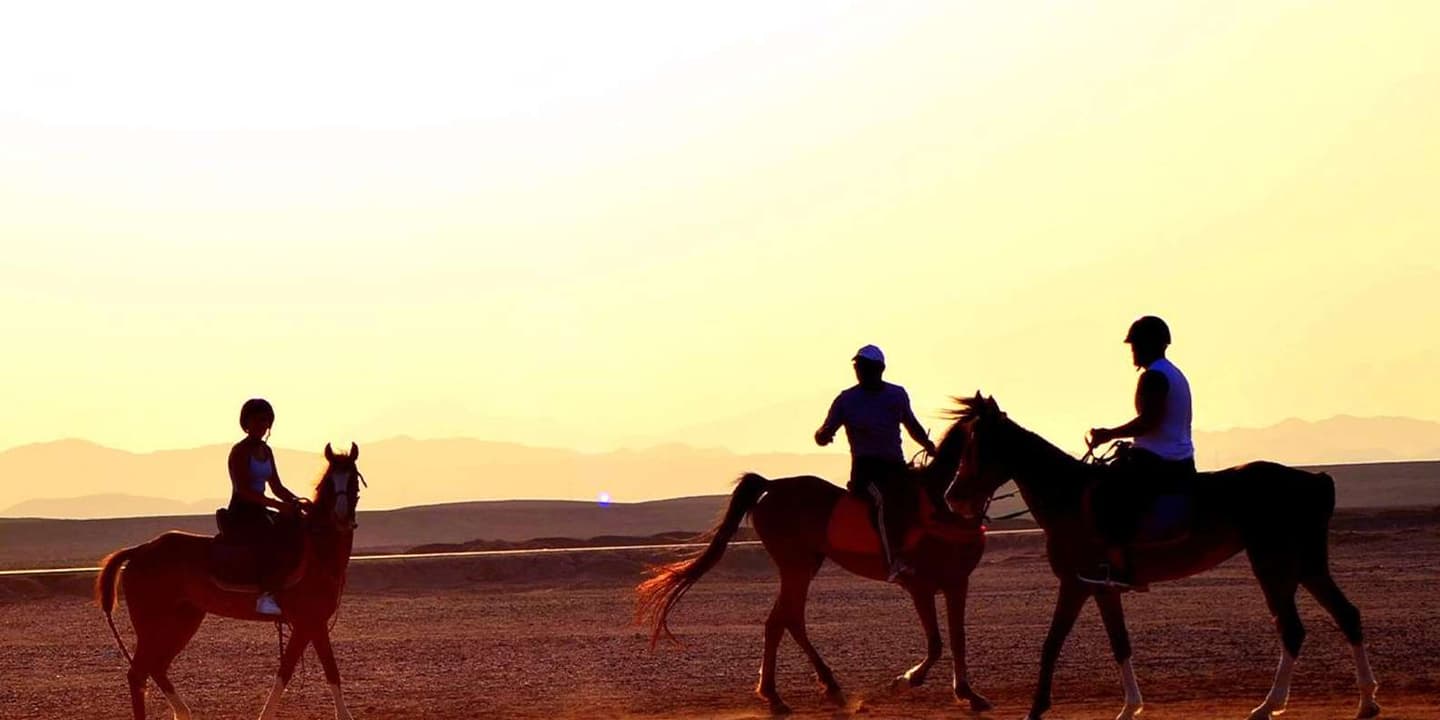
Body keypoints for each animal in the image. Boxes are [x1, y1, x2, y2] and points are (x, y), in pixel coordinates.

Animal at [96, 442, 365, 720]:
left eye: (353, 479)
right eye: (329, 483)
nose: (342, 518)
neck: (318, 552)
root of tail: (139, 550)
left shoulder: (311, 624)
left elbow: (314, 670)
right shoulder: (308, 623)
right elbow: (302, 670)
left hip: (183, 620)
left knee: (156, 667)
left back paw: (183, 712)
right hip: (152, 625)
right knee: (138, 673)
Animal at [636, 418, 993, 715]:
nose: (967, 495)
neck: (939, 508)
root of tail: (771, 485)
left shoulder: (956, 582)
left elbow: (957, 636)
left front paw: (968, 694)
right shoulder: (921, 586)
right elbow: (937, 643)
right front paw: (908, 681)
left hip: (806, 564)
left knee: (781, 620)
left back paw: (784, 693)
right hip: (795, 564)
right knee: (788, 618)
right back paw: (805, 691)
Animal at [943, 393, 1380, 720]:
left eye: (975, 445)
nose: (953, 497)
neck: (1068, 496)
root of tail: (1313, 480)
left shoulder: (1076, 583)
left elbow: (1052, 642)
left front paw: (1036, 709)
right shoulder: (1102, 588)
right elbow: (1119, 642)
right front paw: (1130, 707)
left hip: (1273, 564)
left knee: (1292, 628)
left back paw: (1268, 706)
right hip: (1306, 565)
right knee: (1346, 614)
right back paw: (1366, 702)